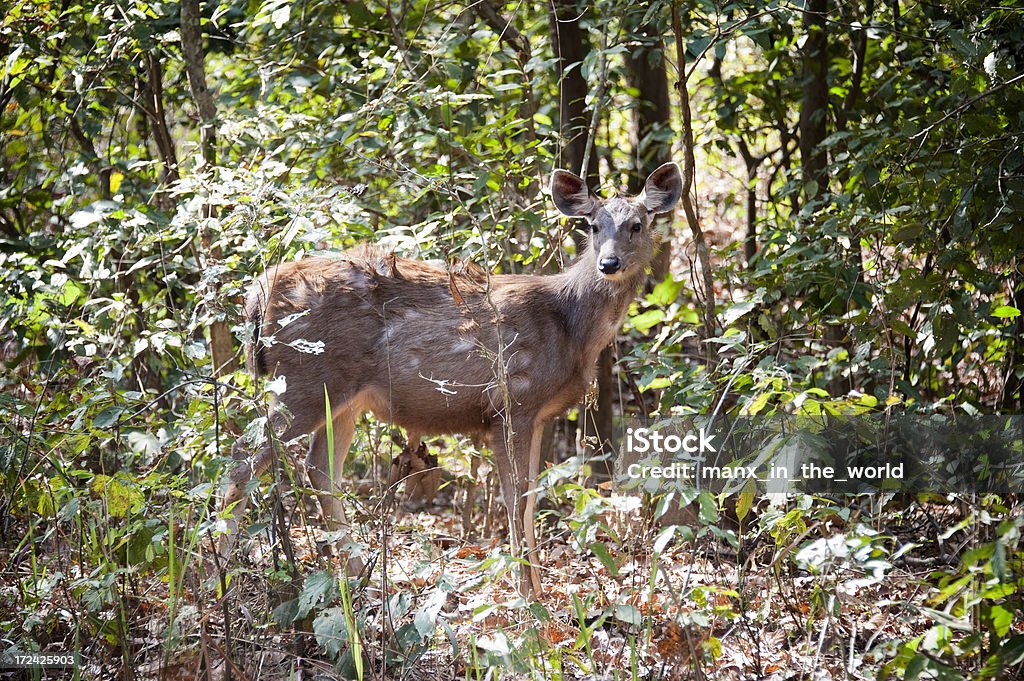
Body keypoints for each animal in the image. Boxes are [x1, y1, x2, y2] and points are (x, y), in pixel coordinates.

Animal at [224, 160, 684, 593]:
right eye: (592, 225)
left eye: (637, 224)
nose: (609, 263)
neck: (570, 327)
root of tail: (257, 296)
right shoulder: (513, 400)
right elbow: (515, 498)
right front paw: (528, 597)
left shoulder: (538, 414)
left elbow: (530, 499)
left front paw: (537, 589)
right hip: (304, 377)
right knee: (244, 458)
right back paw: (219, 572)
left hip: (341, 396)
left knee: (319, 470)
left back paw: (357, 579)